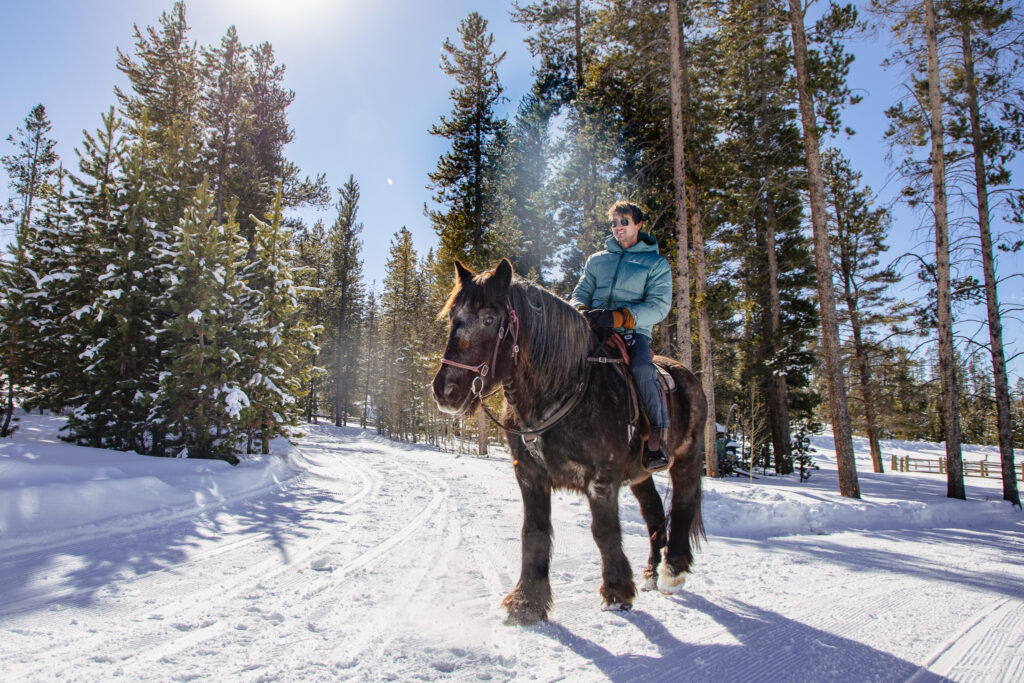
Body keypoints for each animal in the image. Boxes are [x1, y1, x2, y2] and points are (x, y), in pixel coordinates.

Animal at [428, 259, 708, 626]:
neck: (564, 388)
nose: (445, 390)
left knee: (684, 505)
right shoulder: (529, 475)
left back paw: (673, 570)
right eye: (453, 317)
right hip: (641, 474)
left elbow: (604, 531)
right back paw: (650, 572)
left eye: (489, 319)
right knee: (654, 514)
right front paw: (527, 602)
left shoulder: (602, 478)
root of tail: (687, 374)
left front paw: (616, 592)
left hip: (686, 457)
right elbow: (533, 533)